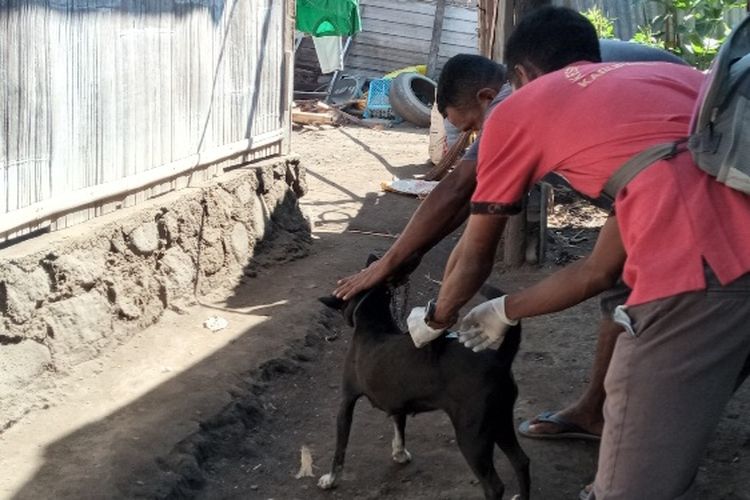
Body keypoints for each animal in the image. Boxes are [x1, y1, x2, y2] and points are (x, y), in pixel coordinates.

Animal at [320, 258, 532, 500]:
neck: (373, 324)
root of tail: (499, 359)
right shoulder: (397, 402)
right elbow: (399, 428)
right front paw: (400, 454)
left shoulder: (346, 402)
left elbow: (340, 448)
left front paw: (331, 479)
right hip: (500, 420)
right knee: (521, 461)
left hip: (472, 434)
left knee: (494, 486)